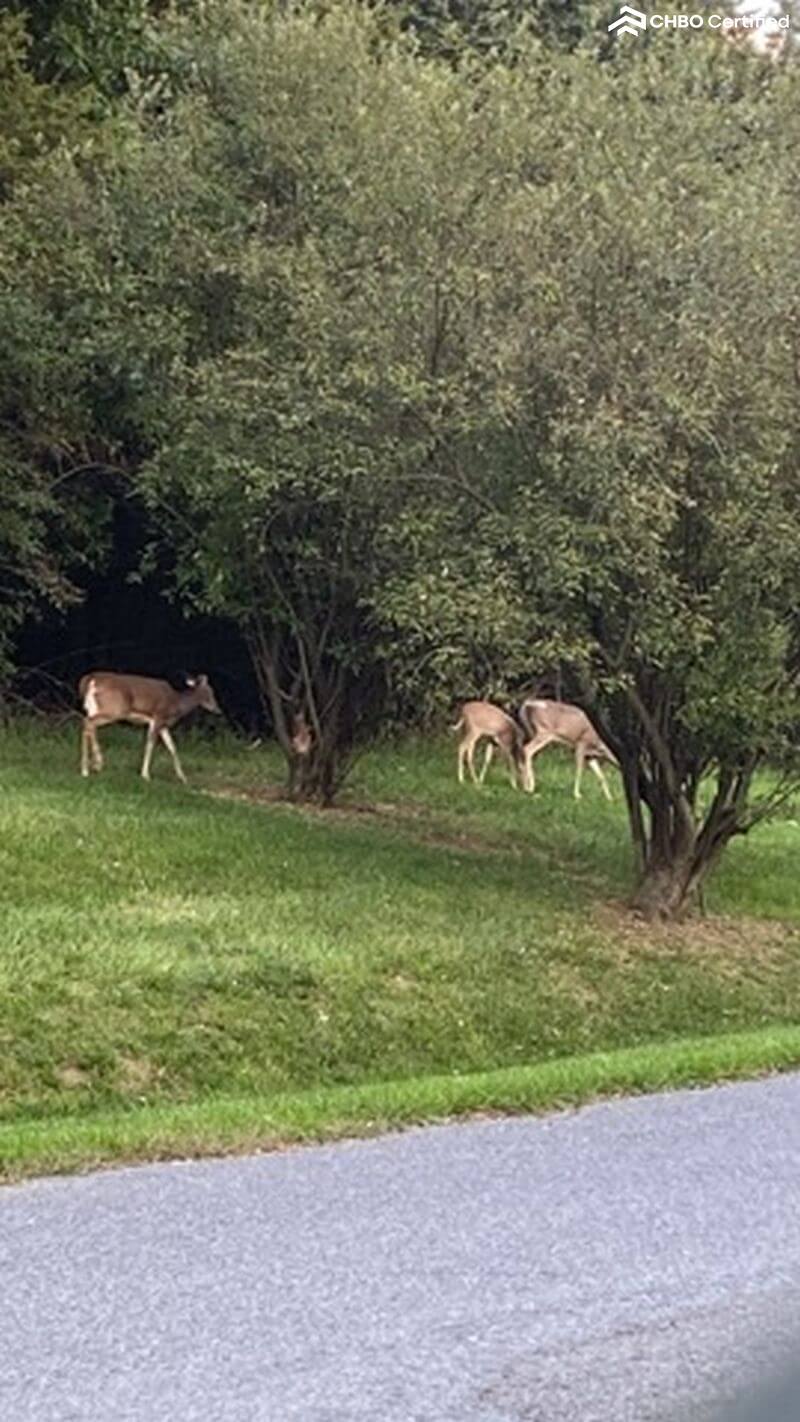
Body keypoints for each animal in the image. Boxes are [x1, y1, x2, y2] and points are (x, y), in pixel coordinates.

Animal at [79, 671, 221, 783]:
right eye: (210, 692)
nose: (217, 710)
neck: (176, 703)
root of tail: (90, 679)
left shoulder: (163, 725)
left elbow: (172, 747)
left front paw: (183, 778)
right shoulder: (158, 717)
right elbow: (150, 745)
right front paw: (145, 775)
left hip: (94, 708)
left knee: (89, 727)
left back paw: (93, 766)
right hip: (115, 710)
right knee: (88, 723)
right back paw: (89, 768)